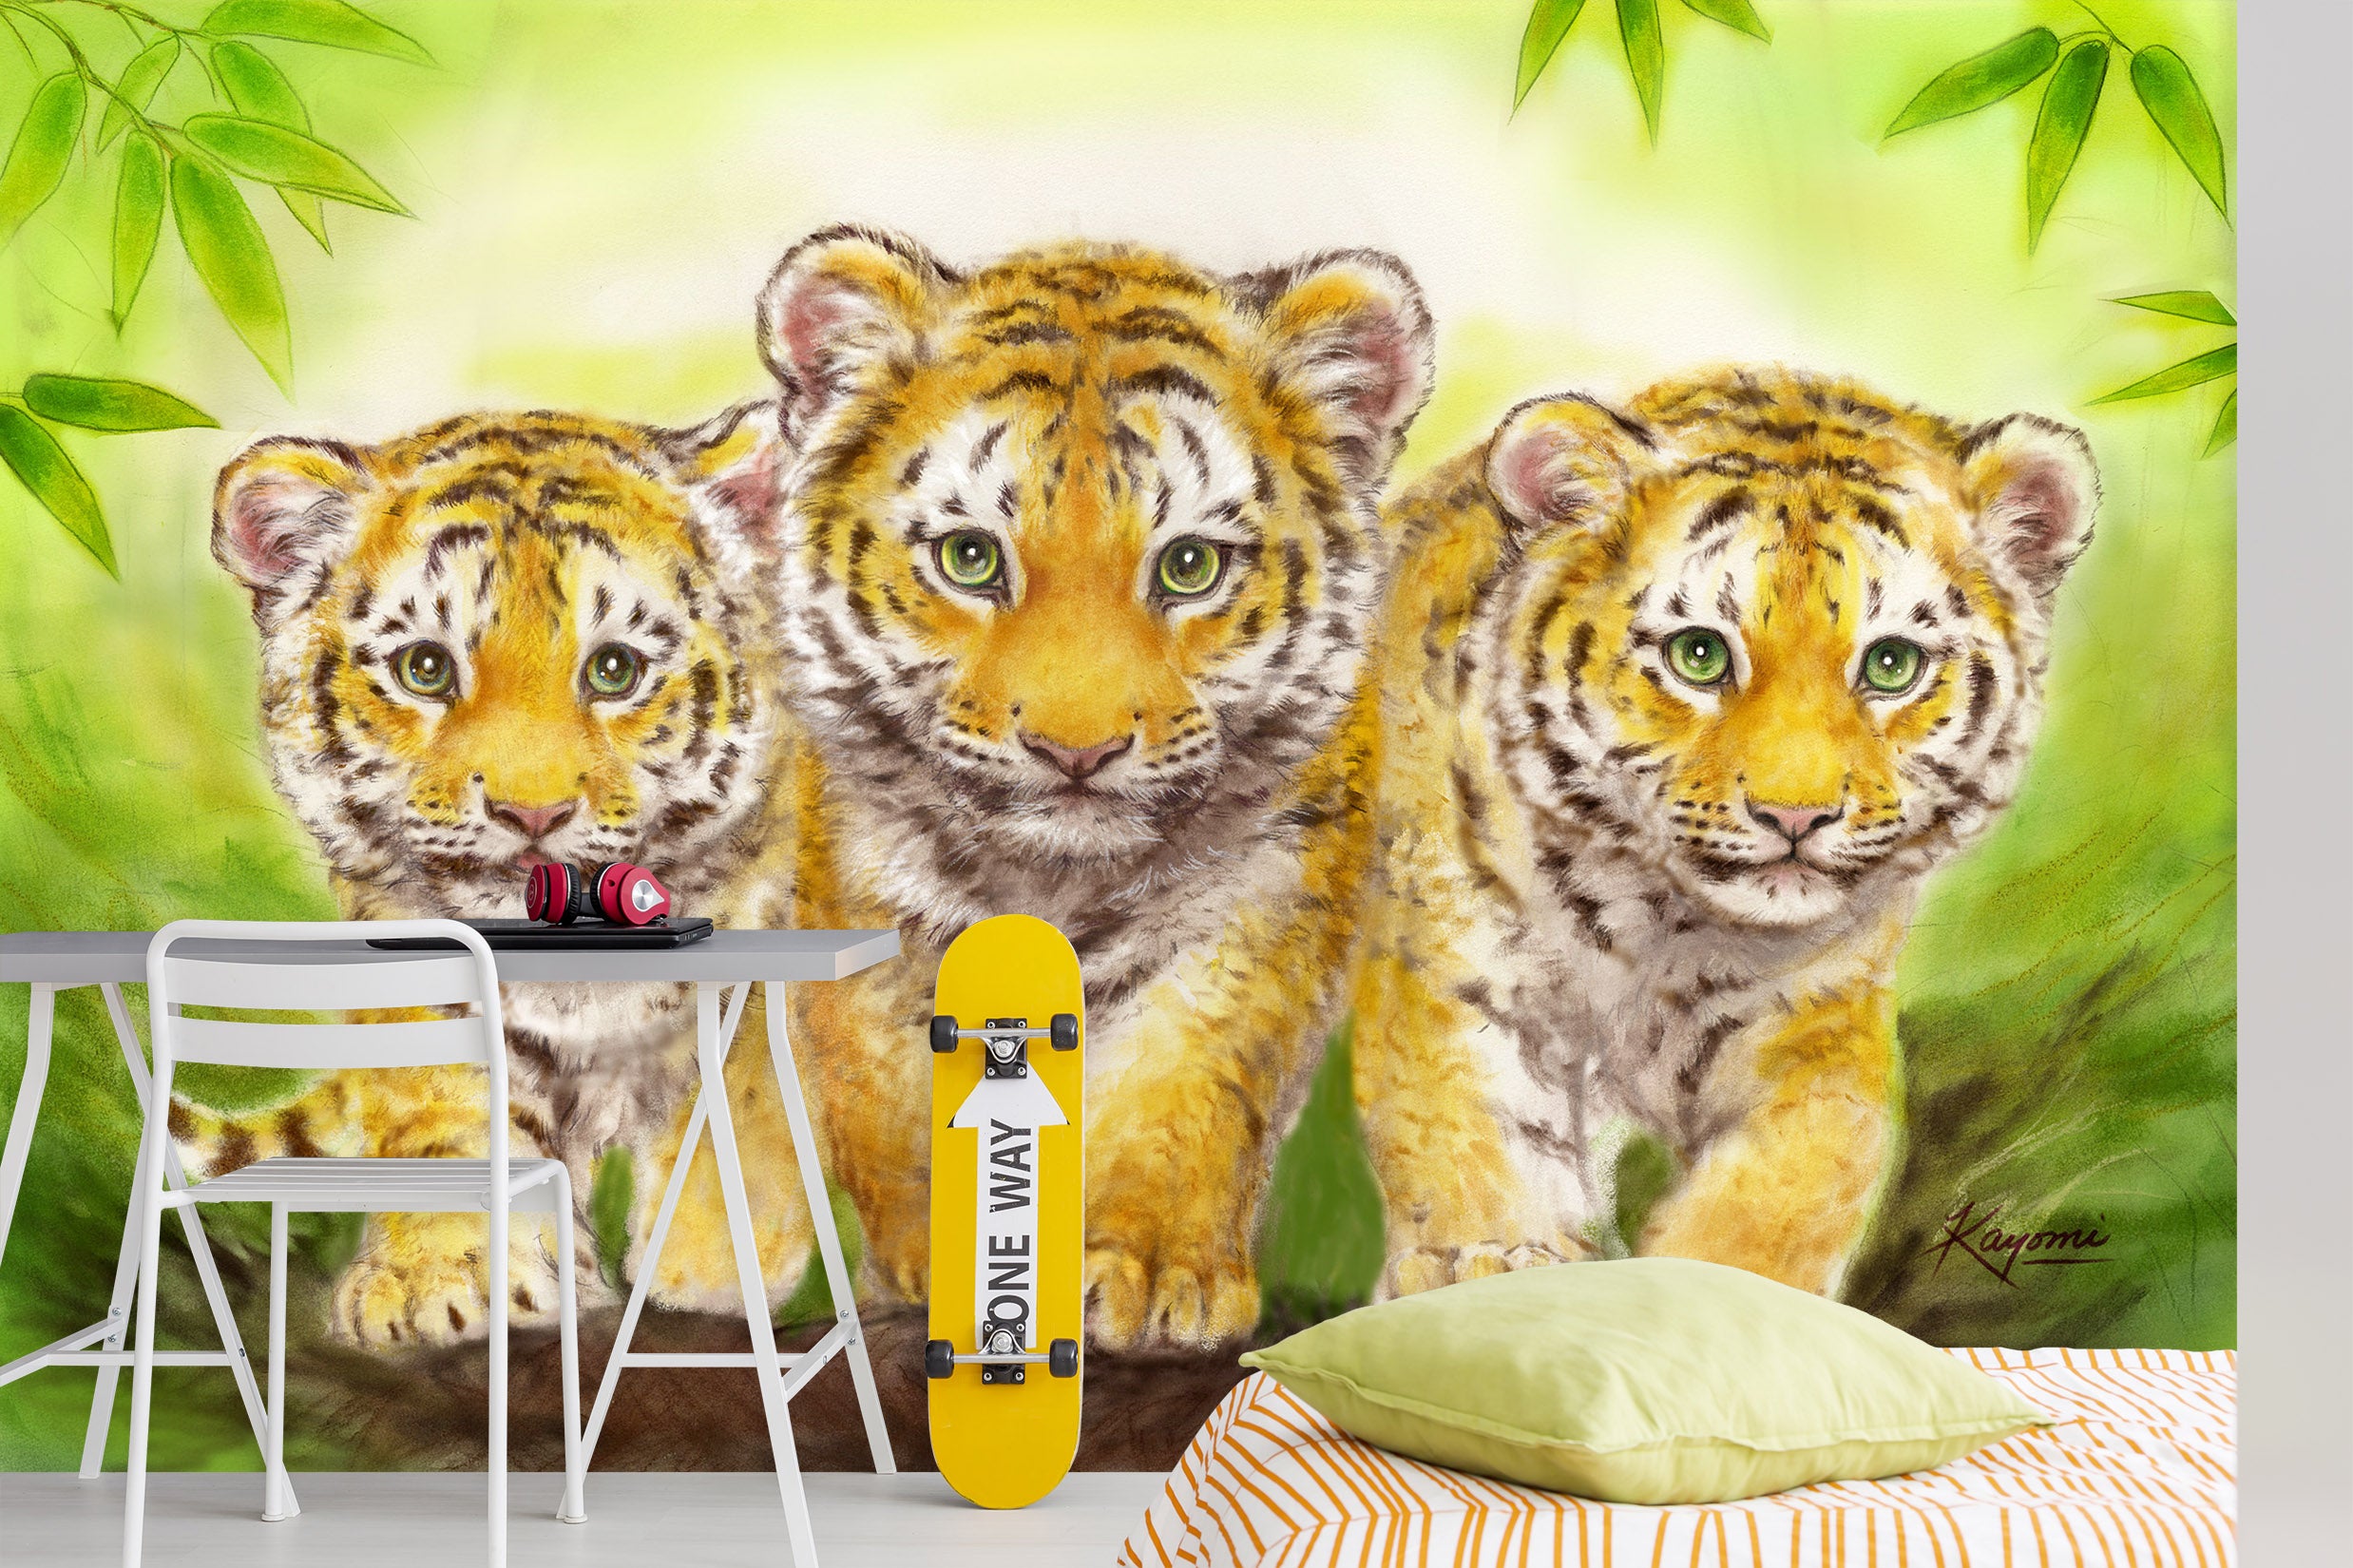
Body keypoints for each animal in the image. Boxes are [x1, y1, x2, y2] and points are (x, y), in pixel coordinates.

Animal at [192, 406, 820, 1345]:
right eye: (424, 668)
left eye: (614, 670)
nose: (531, 814)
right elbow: (439, 1105)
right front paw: (436, 1277)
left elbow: (740, 1104)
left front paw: (704, 1271)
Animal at [755, 226, 1434, 1346]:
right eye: (971, 558)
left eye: (1190, 566)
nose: (1076, 752)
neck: (1057, 879)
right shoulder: (867, 914)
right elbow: (899, 1109)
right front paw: (957, 1273)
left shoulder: (1249, 915)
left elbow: (1179, 1099)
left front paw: (1152, 1274)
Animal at [1349, 367, 2099, 1300]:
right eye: (1699, 656)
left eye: (1891, 665)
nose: (1795, 816)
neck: (1656, 928)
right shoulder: (1454, 972)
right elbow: (1463, 1137)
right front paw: (1488, 1261)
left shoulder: (1816, 1026)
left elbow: (1778, 1201)